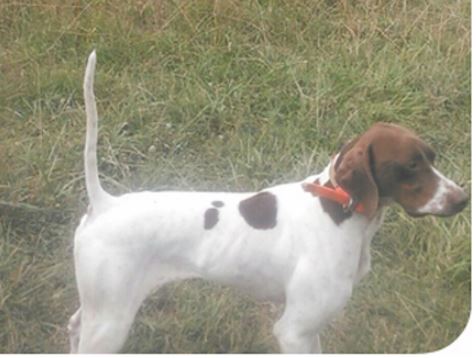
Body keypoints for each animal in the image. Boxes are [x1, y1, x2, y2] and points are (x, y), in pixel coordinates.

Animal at [68, 49, 468, 352]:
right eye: (410, 166)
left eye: (432, 157)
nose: (463, 199)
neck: (339, 209)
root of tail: (105, 204)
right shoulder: (294, 331)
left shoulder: (310, 330)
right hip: (110, 322)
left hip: (99, 310)